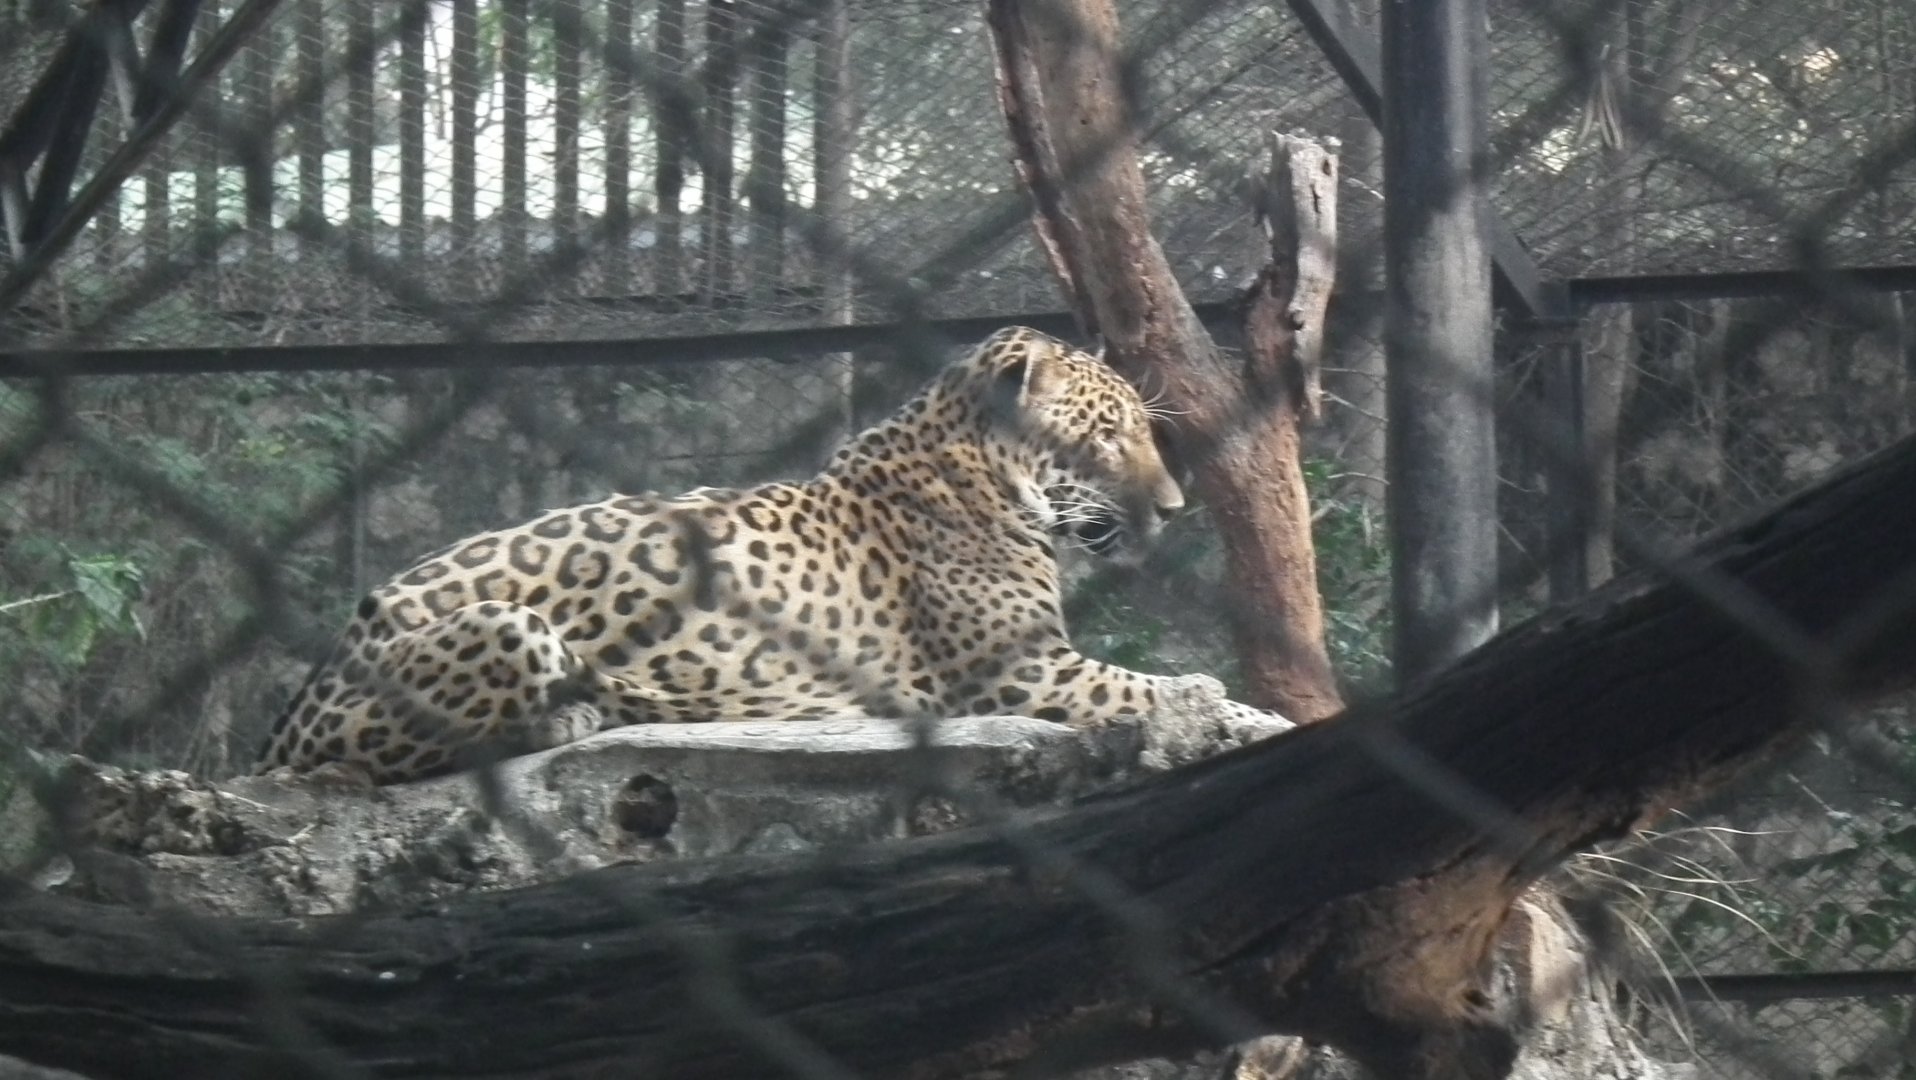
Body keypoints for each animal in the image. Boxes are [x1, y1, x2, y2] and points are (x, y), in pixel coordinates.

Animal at [256, 325, 1279, 784]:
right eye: (1105, 436)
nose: (1175, 506)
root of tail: (290, 712)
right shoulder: (1020, 673)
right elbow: (1156, 687)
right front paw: (1249, 718)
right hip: (505, 628)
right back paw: (576, 714)